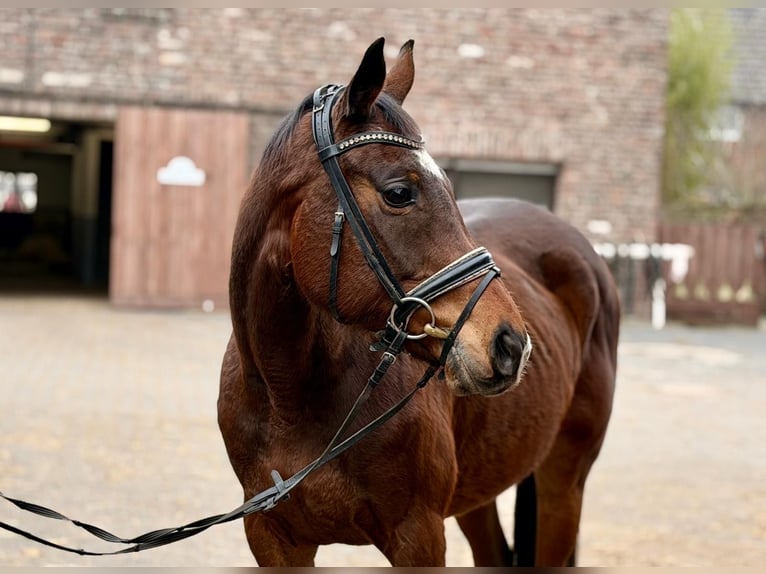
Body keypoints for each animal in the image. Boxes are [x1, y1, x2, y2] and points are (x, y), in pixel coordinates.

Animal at [218, 37, 619, 567]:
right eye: (399, 192)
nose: (511, 345)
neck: (290, 399)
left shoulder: (419, 535)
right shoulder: (273, 539)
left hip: (563, 485)